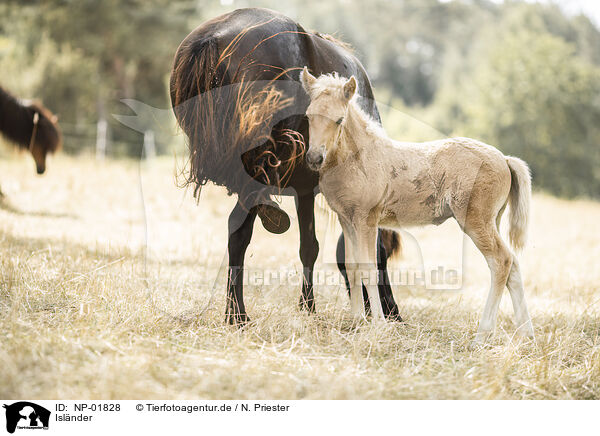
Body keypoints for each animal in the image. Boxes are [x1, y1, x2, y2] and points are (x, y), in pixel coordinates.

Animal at [171, 7, 400, 324]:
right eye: (385, 255)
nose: (393, 311)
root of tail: (215, 36)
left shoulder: (304, 190)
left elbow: (308, 247)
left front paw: (307, 305)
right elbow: (313, 247)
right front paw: (309, 305)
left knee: (236, 232)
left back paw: (234, 310)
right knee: (240, 230)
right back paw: (238, 313)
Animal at [300, 67, 536, 344]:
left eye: (339, 120)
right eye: (308, 116)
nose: (314, 158)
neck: (358, 158)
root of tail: (504, 159)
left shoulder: (367, 219)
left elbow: (370, 268)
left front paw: (378, 325)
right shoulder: (346, 219)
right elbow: (352, 266)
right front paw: (356, 321)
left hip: (476, 222)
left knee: (501, 262)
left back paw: (482, 334)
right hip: (493, 221)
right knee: (514, 265)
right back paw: (527, 334)